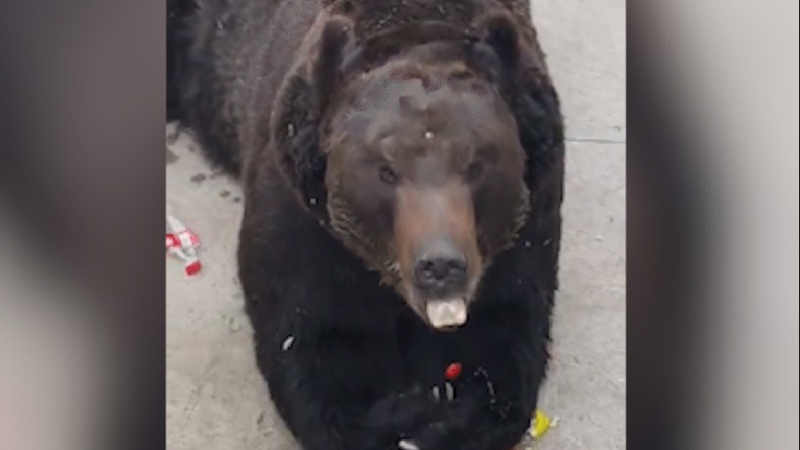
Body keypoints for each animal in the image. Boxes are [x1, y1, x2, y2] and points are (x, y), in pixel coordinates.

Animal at [169, 1, 565, 449]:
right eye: (386, 170)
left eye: (477, 164)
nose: (440, 265)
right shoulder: (308, 225)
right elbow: (316, 342)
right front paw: (393, 416)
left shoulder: (526, 223)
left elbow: (503, 341)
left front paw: (443, 418)